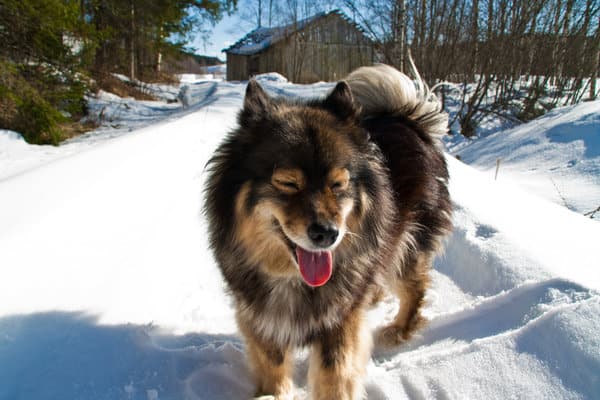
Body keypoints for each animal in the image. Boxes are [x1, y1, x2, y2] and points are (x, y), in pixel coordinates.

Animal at [204, 64, 452, 398]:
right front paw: (272, 394)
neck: (293, 280)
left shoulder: (340, 321)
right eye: (288, 183)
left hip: (409, 244)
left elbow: (335, 373)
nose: (328, 234)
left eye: (338, 184)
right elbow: (273, 368)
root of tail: (407, 118)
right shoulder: (261, 318)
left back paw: (399, 329)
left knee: (414, 287)